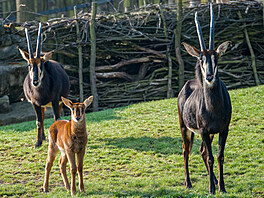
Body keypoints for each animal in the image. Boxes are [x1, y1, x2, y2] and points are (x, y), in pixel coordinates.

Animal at [178, 3, 232, 194]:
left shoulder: (223, 129)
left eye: (216, 56)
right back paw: (188, 183)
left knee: (201, 151)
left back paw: (214, 180)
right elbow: (210, 157)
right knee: (186, 151)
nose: (209, 76)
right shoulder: (203, 130)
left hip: (208, 134)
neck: (213, 107)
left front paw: (221, 187)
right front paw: (211, 189)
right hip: (185, 128)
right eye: (201, 58)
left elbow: (219, 156)